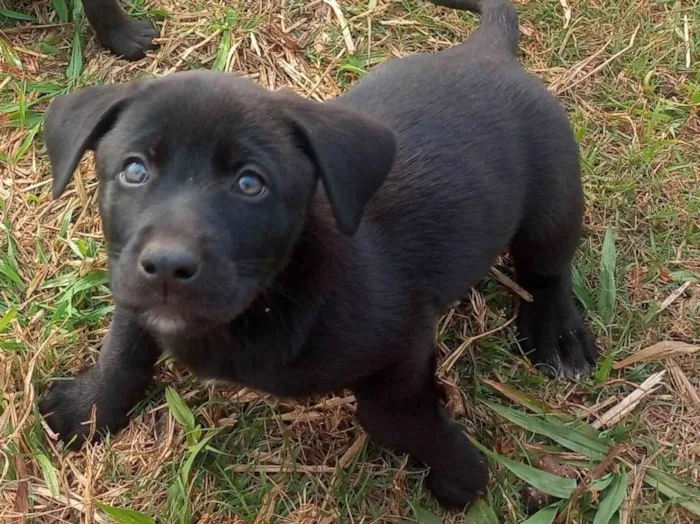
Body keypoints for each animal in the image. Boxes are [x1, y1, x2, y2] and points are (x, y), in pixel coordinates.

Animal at [39, 0, 596, 508]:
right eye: (134, 170)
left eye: (250, 184)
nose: (167, 267)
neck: (273, 293)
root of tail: (486, 51)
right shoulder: (132, 286)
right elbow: (124, 350)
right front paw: (88, 408)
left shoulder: (404, 340)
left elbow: (394, 413)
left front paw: (458, 471)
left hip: (552, 202)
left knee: (548, 268)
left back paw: (559, 335)